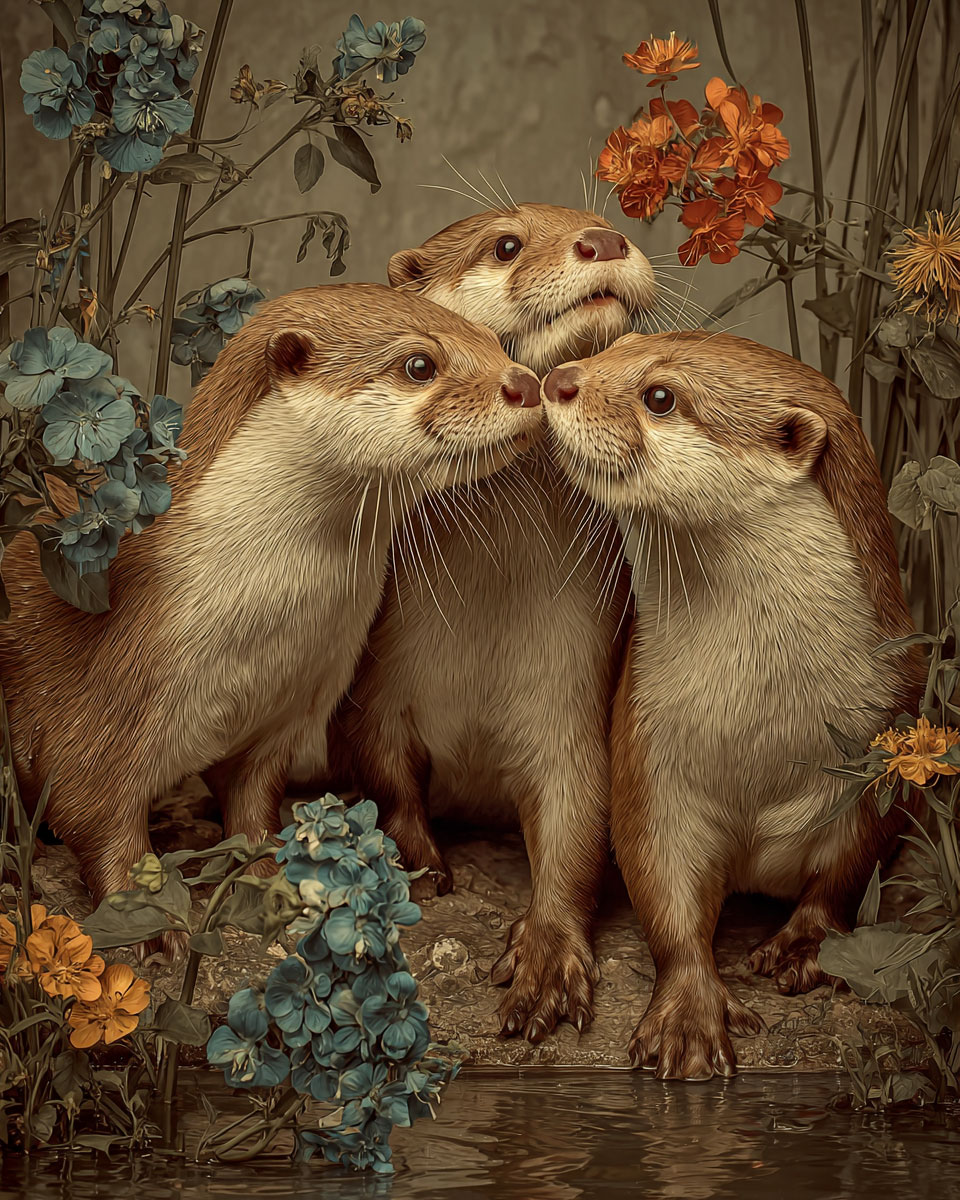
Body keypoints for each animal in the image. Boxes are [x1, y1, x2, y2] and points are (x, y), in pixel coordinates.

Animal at [0, 284, 541, 921]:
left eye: (494, 341)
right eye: (419, 365)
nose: (526, 383)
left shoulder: (278, 722)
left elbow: (254, 811)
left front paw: (273, 885)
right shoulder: (101, 705)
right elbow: (99, 820)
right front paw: (150, 923)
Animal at [291, 204, 659, 1043]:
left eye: (602, 218)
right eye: (507, 244)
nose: (605, 239)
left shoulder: (567, 697)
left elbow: (576, 820)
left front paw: (546, 954)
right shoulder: (380, 685)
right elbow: (385, 773)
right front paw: (417, 863)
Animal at [541, 331, 923, 1079]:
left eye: (660, 395)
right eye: (615, 345)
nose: (558, 379)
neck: (761, 736)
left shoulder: (883, 740)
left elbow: (847, 869)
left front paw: (806, 947)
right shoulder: (648, 754)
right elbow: (662, 885)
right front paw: (688, 1015)